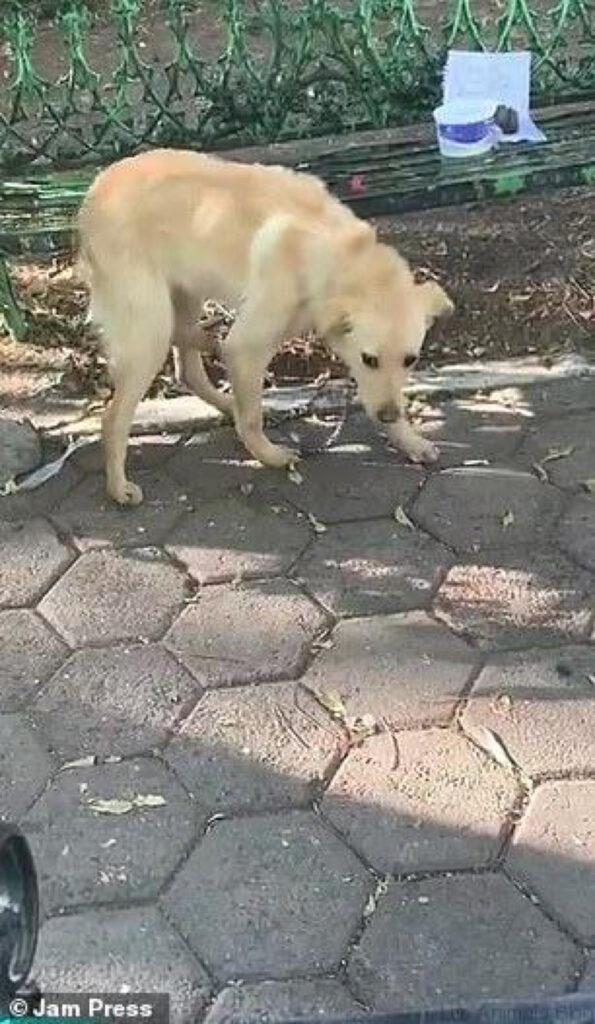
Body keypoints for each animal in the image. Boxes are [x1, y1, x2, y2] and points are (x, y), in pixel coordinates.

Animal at [76, 148, 452, 507]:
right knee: (115, 417)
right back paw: (118, 487)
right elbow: (252, 418)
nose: (388, 416)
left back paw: (220, 381)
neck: (336, 252)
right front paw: (268, 456)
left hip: (186, 292)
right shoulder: (247, 345)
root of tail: (96, 188)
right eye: (369, 359)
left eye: (411, 360)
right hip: (148, 326)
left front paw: (409, 440)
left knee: (188, 367)